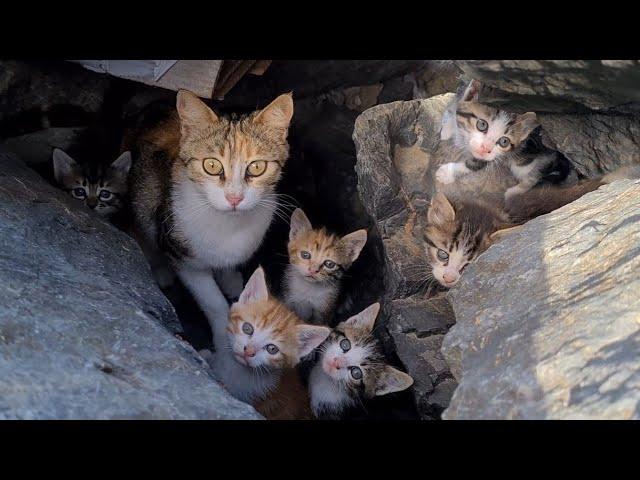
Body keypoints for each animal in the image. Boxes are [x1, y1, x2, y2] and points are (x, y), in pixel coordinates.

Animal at [125, 90, 296, 342]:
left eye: (257, 168)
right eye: (212, 165)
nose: (234, 197)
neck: (229, 225)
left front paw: (230, 277)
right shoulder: (184, 258)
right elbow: (212, 302)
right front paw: (225, 340)